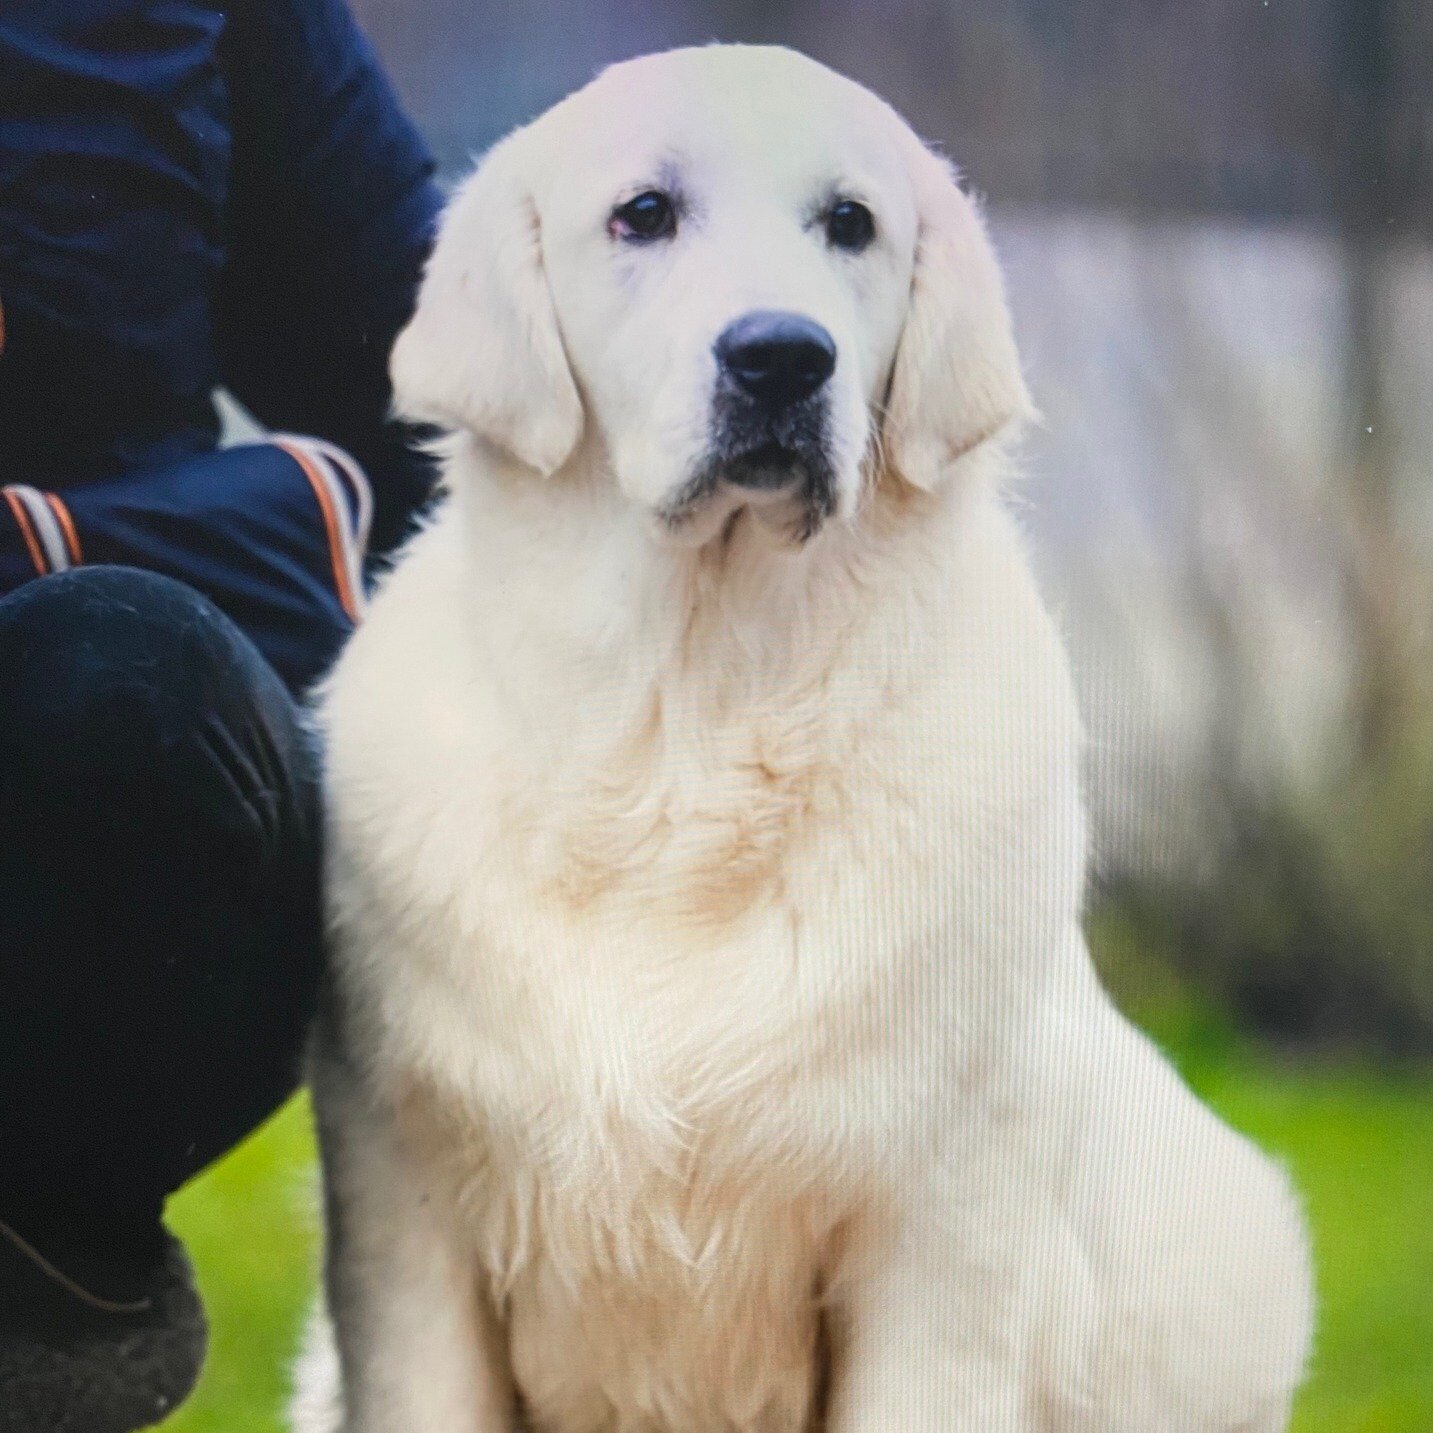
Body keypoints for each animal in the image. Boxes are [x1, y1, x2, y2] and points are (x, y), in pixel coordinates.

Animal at [296, 44, 1312, 1433]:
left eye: (849, 223)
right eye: (643, 214)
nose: (781, 356)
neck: (689, 722)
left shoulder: (940, 1227)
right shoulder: (407, 1202)